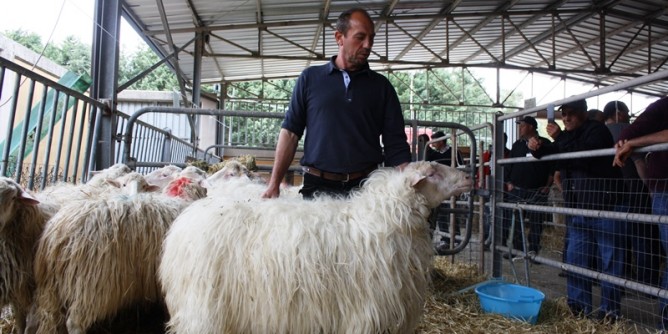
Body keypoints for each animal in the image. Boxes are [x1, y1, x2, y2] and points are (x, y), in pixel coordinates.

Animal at [31, 176, 188, 332]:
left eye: (144, 186)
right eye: (123, 184)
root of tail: (57, 235)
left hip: (50, 287)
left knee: (44, 317)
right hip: (90, 284)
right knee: (74, 323)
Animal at [159, 160, 472, 332]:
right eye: (433, 173)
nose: (469, 176)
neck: (386, 217)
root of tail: (184, 224)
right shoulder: (367, 312)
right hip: (203, 308)